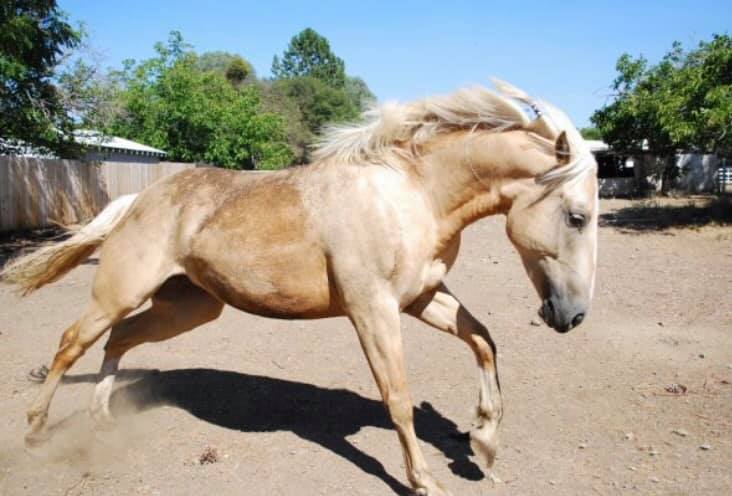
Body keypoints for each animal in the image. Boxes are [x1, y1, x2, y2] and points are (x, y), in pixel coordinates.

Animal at [1, 79, 596, 494]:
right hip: (119, 293)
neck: (411, 195)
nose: (572, 316)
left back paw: (103, 419)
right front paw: (426, 479)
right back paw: (34, 431)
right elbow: (398, 398)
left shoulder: (423, 297)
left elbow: (483, 340)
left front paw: (484, 443)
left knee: (119, 340)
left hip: (187, 307)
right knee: (72, 342)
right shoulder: (372, 309)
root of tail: (139, 200)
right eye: (577, 217)